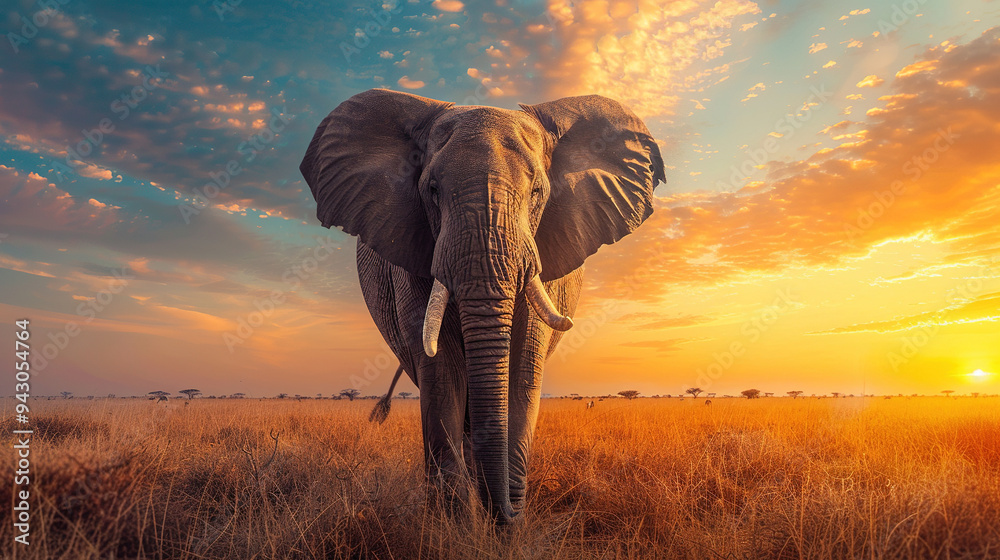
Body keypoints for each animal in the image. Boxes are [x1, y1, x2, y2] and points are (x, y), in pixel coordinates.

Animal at [299, 88, 664, 524]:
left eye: (537, 193)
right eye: (432, 190)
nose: (507, 513)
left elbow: (523, 370)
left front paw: (505, 524)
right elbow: (442, 372)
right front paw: (458, 527)